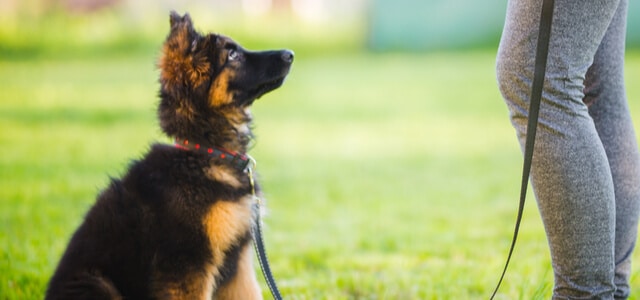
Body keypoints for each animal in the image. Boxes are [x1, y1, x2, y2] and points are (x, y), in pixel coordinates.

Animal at [46, 11, 294, 300]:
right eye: (232, 55)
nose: (290, 54)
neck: (205, 154)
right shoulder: (187, 262)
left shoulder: (238, 260)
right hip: (96, 284)